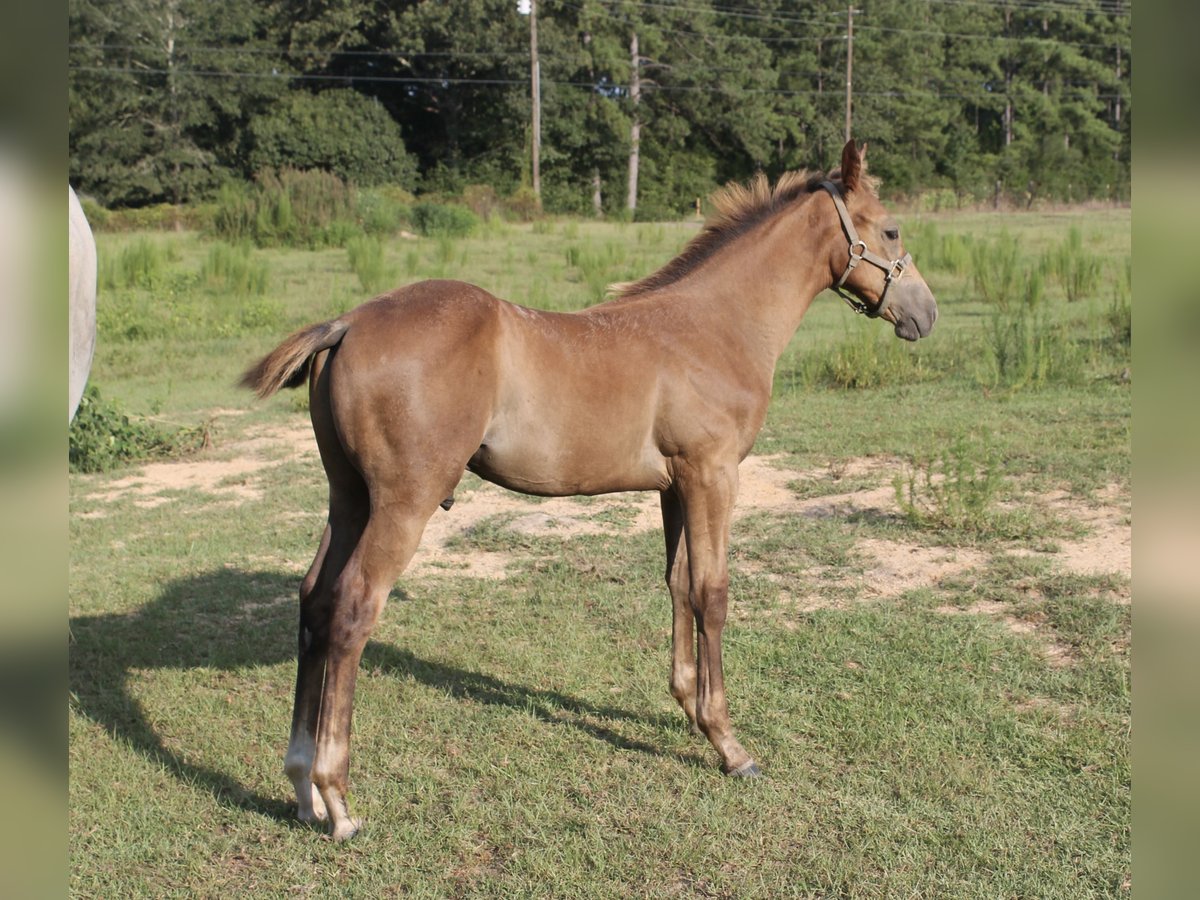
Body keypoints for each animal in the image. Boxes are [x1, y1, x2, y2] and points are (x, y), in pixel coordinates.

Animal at [243, 139, 936, 840]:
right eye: (891, 230)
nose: (925, 314)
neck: (714, 326)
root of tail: (348, 322)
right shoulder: (714, 474)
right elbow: (712, 594)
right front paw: (729, 744)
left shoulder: (675, 485)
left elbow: (678, 584)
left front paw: (689, 711)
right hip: (403, 503)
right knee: (353, 610)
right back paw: (337, 800)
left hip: (349, 498)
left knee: (314, 601)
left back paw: (300, 785)